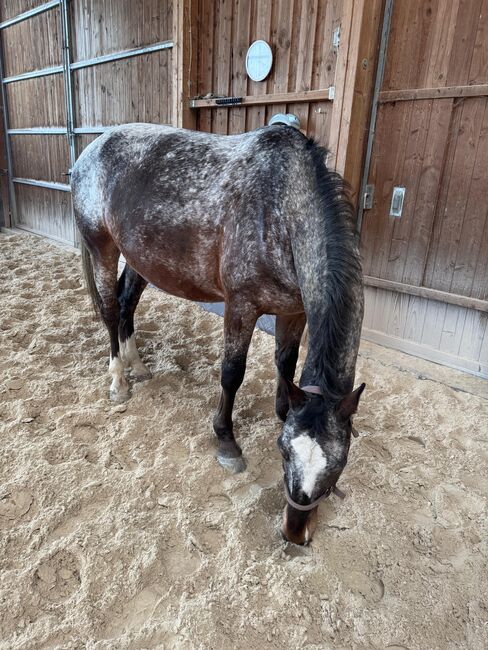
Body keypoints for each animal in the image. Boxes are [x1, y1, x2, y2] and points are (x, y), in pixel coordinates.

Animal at [71, 123, 365, 545]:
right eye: (284, 455)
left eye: (339, 465)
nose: (294, 532)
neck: (281, 207)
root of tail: (92, 147)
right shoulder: (241, 306)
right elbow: (232, 373)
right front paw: (226, 441)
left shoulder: (294, 311)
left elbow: (286, 363)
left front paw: (282, 412)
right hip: (102, 248)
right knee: (112, 310)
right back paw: (118, 381)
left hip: (141, 259)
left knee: (127, 304)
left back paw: (137, 366)